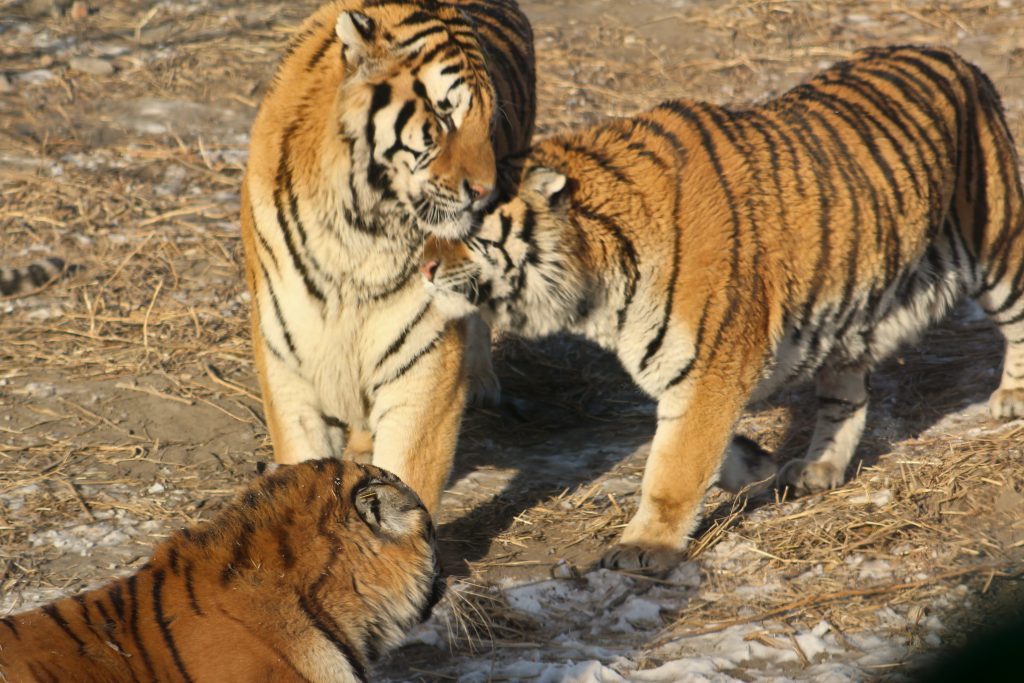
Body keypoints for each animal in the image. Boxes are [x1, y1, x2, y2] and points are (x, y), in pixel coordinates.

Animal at [238, 0, 536, 511]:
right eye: (444, 116)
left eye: (491, 122)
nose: (486, 192)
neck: (362, 234)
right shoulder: (286, 358)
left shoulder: (425, 364)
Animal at [421, 45, 1024, 573]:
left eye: (467, 227)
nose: (422, 268)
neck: (597, 278)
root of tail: (958, 60)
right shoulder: (687, 370)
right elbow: (697, 444)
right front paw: (755, 466)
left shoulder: (712, 364)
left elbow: (672, 469)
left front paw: (644, 548)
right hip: (851, 306)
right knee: (845, 399)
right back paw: (817, 468)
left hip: (996, 245)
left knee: (1015, 318)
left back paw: (1011, 399)